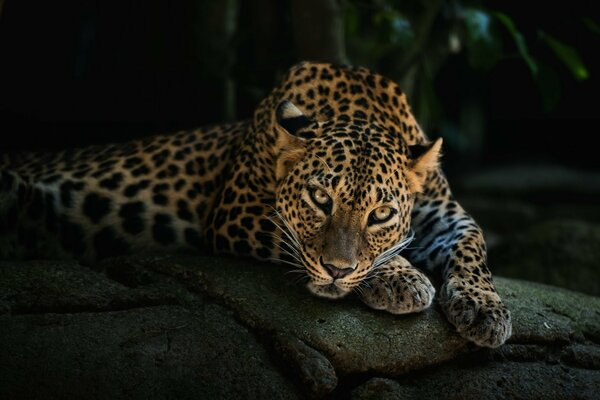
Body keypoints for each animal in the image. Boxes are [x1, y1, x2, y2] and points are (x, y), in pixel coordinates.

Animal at [2, 61, 512, 346]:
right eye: (319, 199)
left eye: (381, 214)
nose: (338, 272)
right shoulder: (236, 211)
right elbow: (298, 241)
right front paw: (402, 278)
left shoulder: (445, 214)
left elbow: (474, 244)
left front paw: (485, 309)